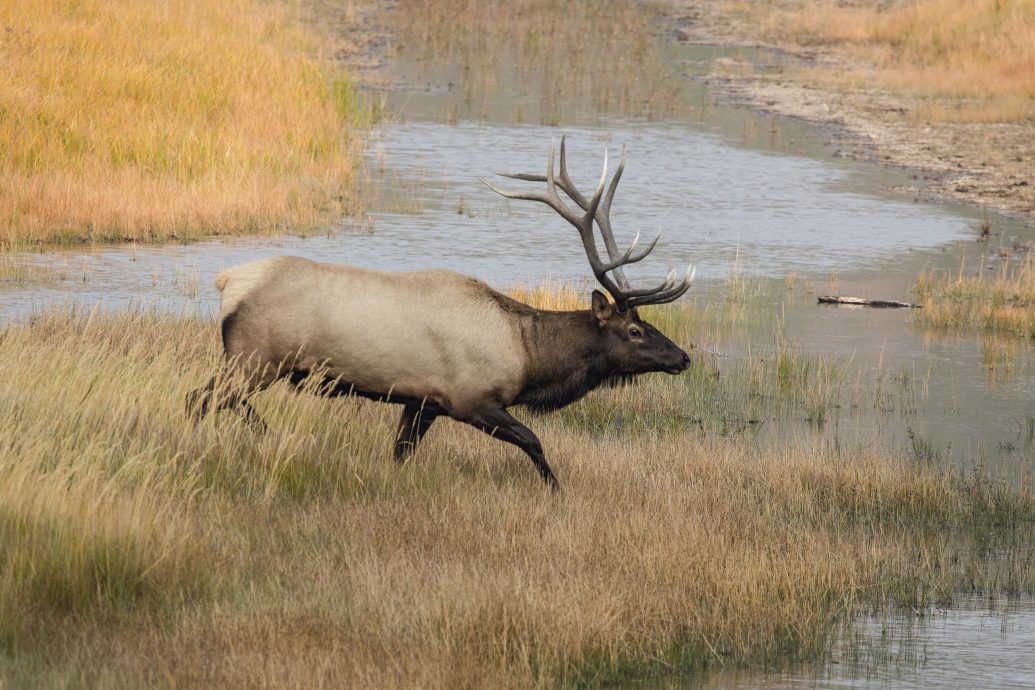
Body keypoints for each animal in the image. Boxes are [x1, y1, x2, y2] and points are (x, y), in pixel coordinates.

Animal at [187, 136, 696, 489]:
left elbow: (400, 453)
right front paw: (556, 490)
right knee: (201, 397)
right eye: (635, 330)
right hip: (255, 358)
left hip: (253, 363)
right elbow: (533, 440)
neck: (528, 355)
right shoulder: (470, 398)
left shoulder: (422, 401)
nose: (684, 357)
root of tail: (228, 282)